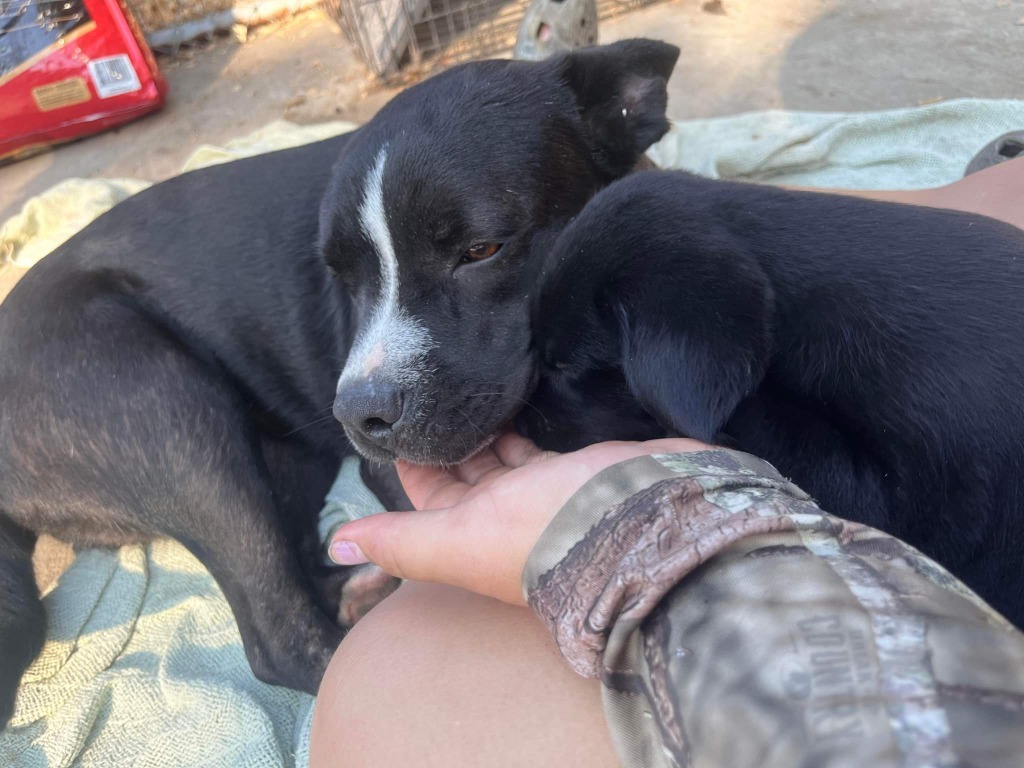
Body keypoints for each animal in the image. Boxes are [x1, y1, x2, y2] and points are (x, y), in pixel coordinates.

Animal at [2, 41, 688, 729]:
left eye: (482, 249)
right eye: (343, 277)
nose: (359, 416)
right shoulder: (387, 469)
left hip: (285, 455)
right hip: (171, 412)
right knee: (280, 638)